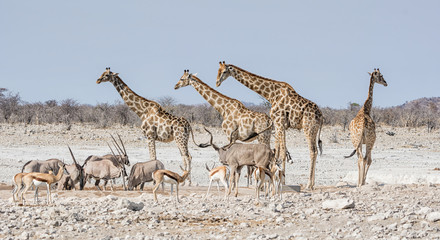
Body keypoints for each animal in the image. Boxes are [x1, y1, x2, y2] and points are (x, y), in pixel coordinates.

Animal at [217, 61, 324, 189]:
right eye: (218, 70)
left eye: (224, 71)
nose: (217, 82)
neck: (271, 95)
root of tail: (321, 116)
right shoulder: (278, 124)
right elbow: (277, 151)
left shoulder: (279, 122)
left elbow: (282, 152)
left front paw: (282, 181)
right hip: (313, 129)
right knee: (316, 151)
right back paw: (312, 184)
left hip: (308, 128)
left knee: (313, 151)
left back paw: (309, 184)